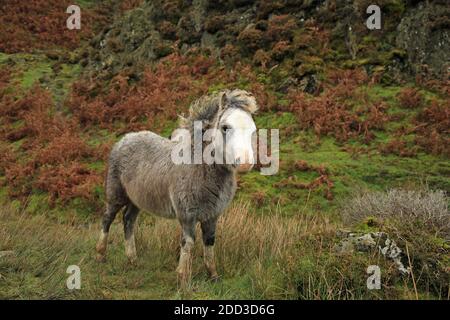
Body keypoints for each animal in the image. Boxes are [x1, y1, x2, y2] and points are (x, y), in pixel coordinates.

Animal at [95, 89, 256, 282]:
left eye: (253, 130)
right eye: (225, 127)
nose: (245, 163)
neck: (199, 166)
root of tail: (125, 139)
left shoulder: (212, 215)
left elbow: (209, 242)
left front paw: (213, 275)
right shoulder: (187, 214)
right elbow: (188, 242)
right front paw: (182, 277)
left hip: (137, 199)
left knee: (128, 221)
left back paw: (132, 259)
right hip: (116, 194)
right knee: (107, 219)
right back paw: (101, 255)